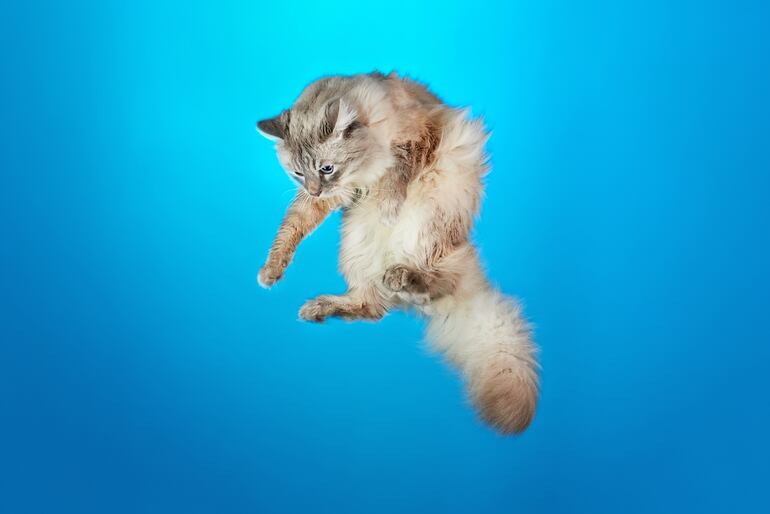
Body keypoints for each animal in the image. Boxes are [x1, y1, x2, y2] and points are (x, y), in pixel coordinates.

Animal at [256, 72, 539, 434]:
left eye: (327, 168)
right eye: (298, 173)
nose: (314, 189)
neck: (366, 163)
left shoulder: (423, 135)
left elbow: (399, 169)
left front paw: (389, 206)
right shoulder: (325, 199)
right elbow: (290, 229)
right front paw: (271, 271)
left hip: (433, 229)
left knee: (436, 282)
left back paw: (404, 277)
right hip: (354, 244)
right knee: (372, 307)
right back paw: (322, 307)